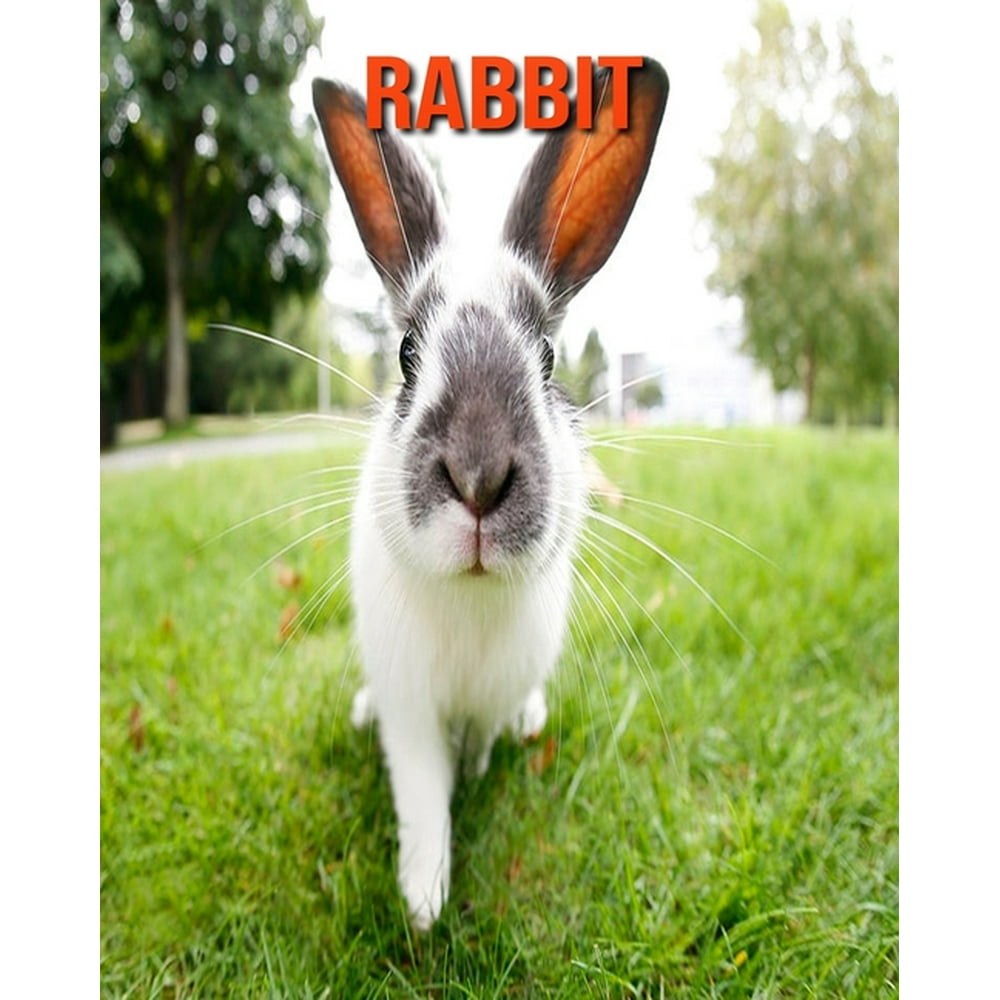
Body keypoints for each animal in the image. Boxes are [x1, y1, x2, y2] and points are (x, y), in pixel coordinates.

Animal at [311, 56, 669, 930]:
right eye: (407, 353)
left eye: (548, 357)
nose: (477, 477)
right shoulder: (412, 710)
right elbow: (423, 796)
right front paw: (423, 902)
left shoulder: (487, 696)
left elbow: (472, 751)